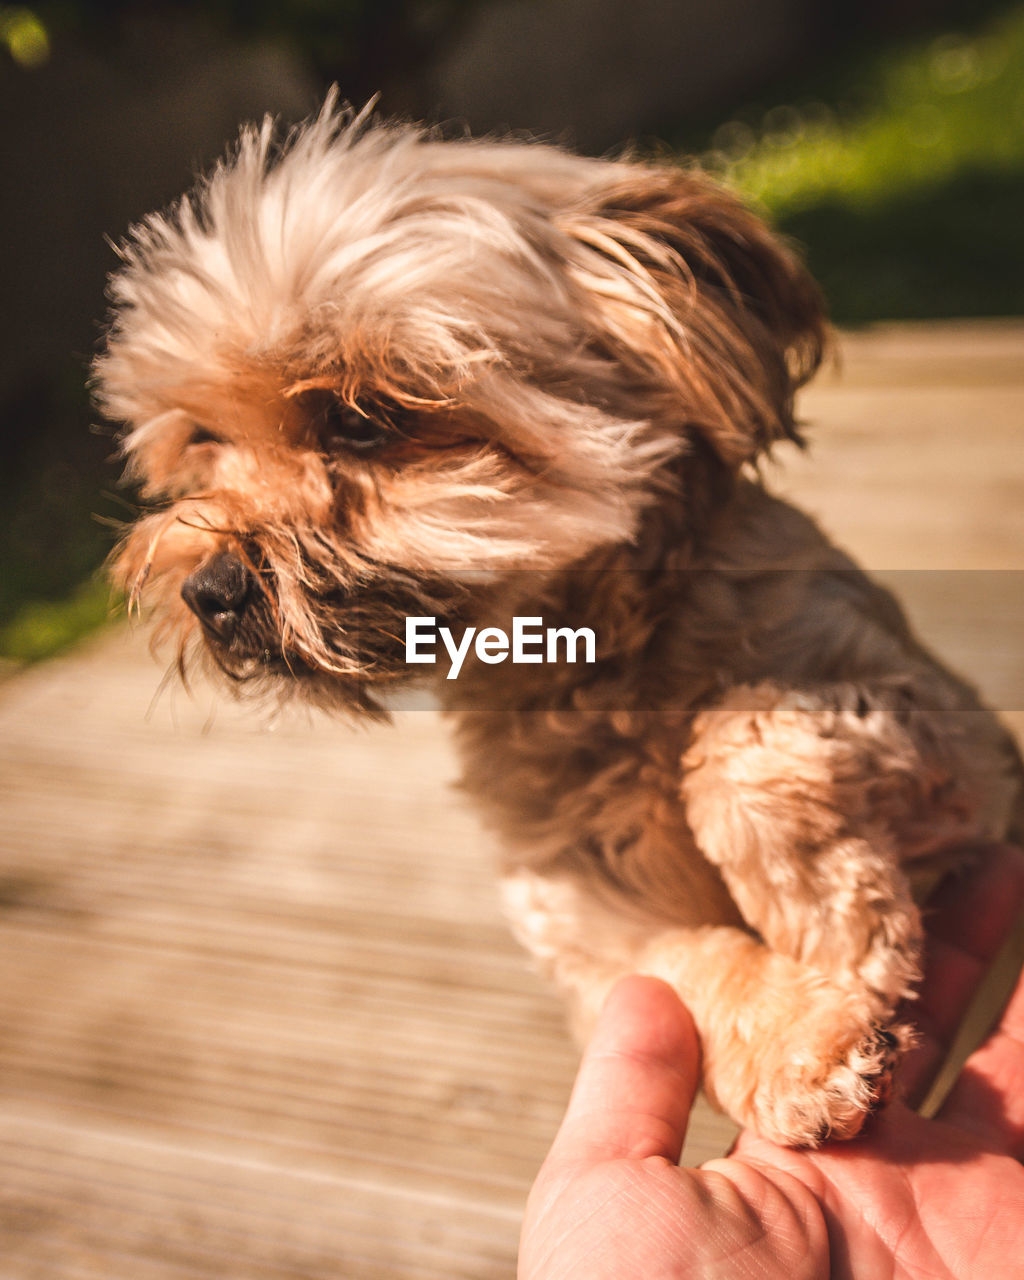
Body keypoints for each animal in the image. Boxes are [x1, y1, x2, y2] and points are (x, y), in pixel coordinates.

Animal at [94, 97, 1013, 1141]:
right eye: (204, 443)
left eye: (361, 421)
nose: (206, 591)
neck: (598, 668)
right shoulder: (584, 923)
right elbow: (684, 967)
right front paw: (801, 1042)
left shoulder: (966, 759)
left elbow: (738, 740)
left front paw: (838, 933)